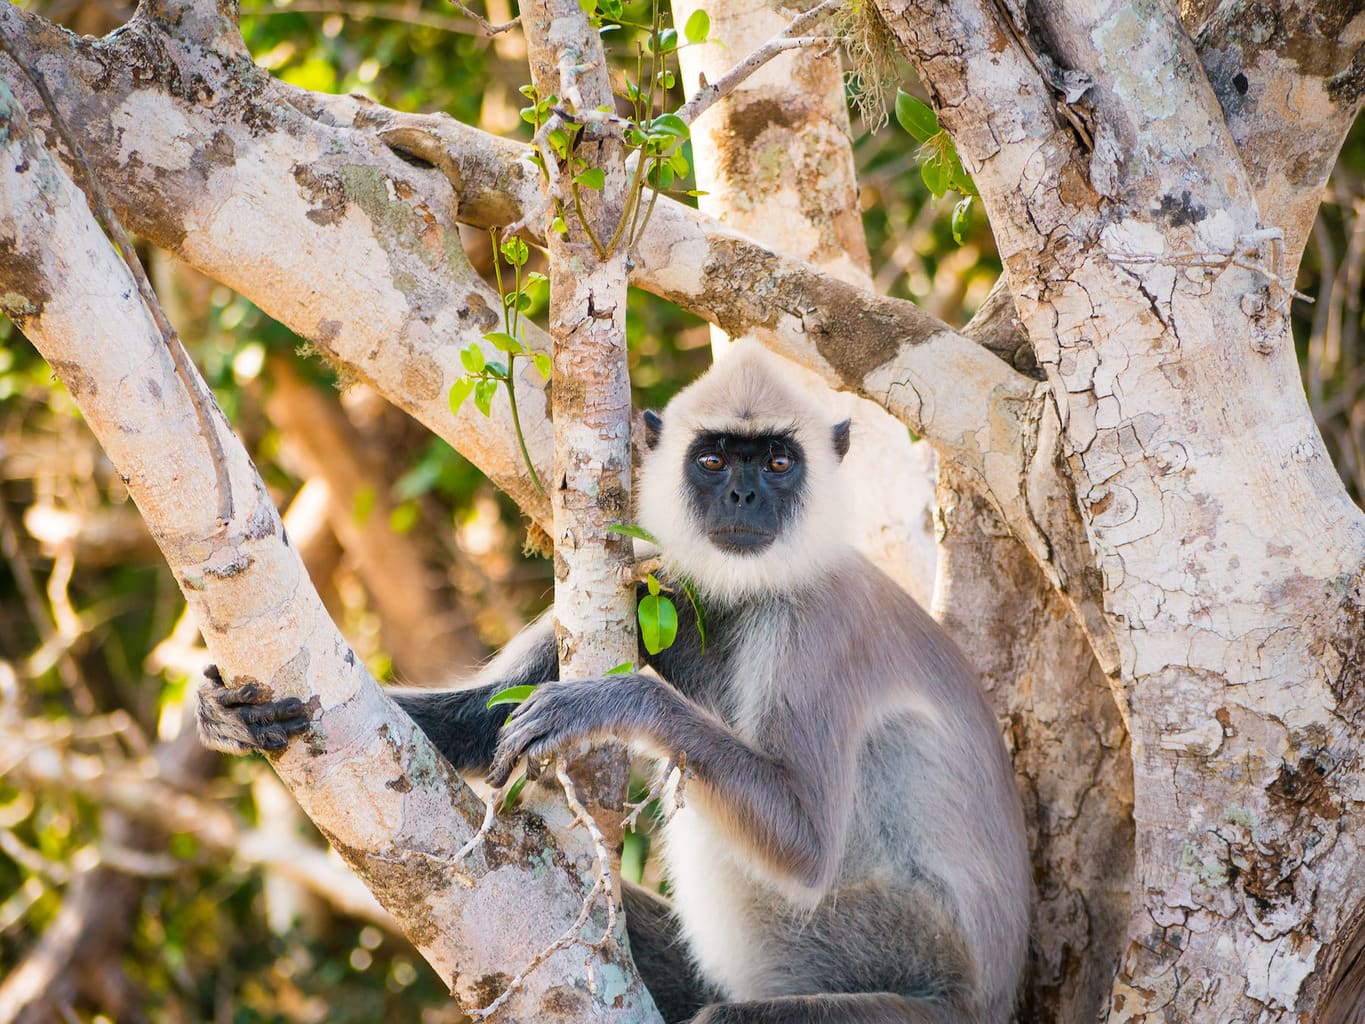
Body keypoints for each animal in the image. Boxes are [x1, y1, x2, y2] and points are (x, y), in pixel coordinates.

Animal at [199, 342, 1031, 1024]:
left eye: (777, 463)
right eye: (713, 461)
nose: (743, 498)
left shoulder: (816, 629)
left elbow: (807, 846)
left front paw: (615, 703)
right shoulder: (654, 583)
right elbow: (481, 722)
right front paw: (238, 717)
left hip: (898, 964)